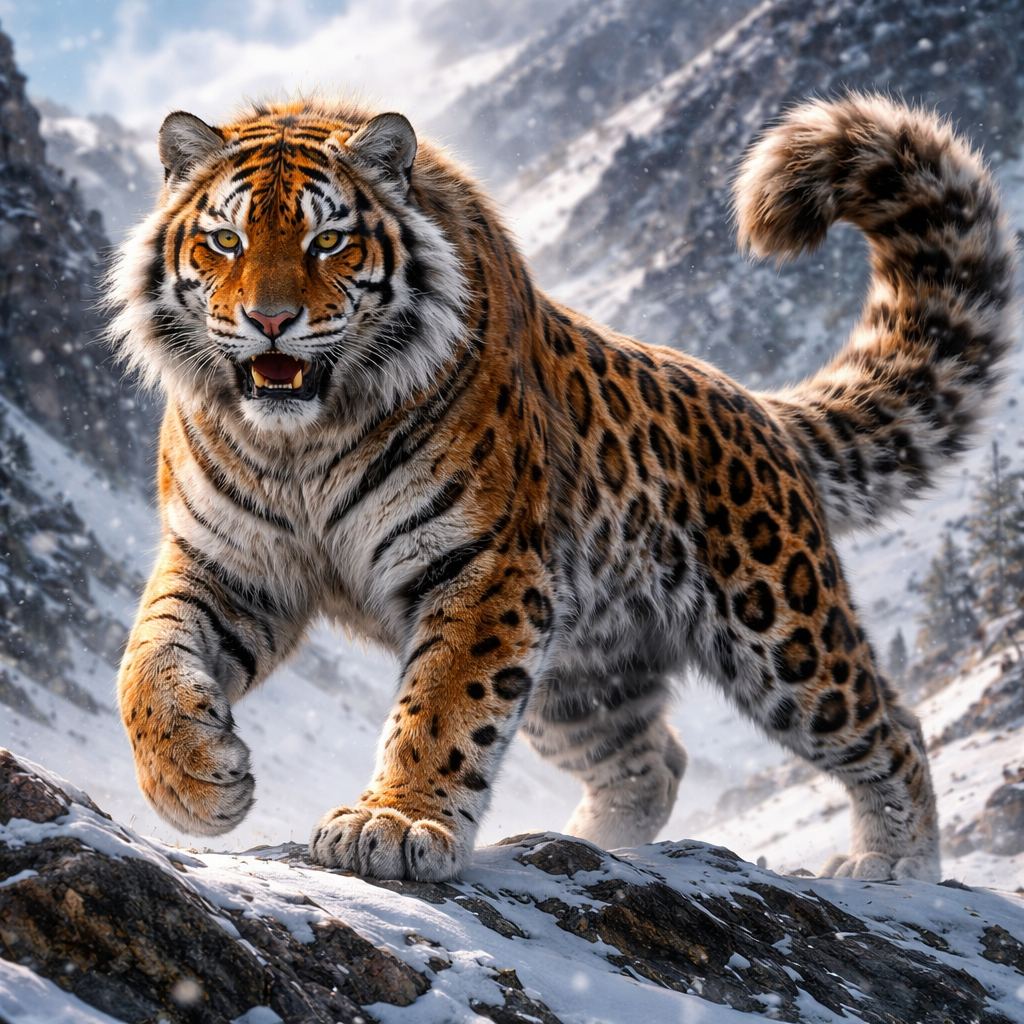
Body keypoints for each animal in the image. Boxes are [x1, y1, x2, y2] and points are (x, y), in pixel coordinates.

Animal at [108, 91, 1016, 882]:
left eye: (328, 242)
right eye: (227, 242)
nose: (270, 321)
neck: (301, 445)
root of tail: (761, 408)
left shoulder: (482, 566)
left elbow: (443, 705)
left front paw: (396, 822)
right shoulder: (228, 563)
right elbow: (147, 663)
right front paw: (194, 782)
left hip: (783, 632)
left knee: (891, 727)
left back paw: (896, 867)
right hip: (584, 682)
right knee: (651, 762)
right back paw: (583, 844)